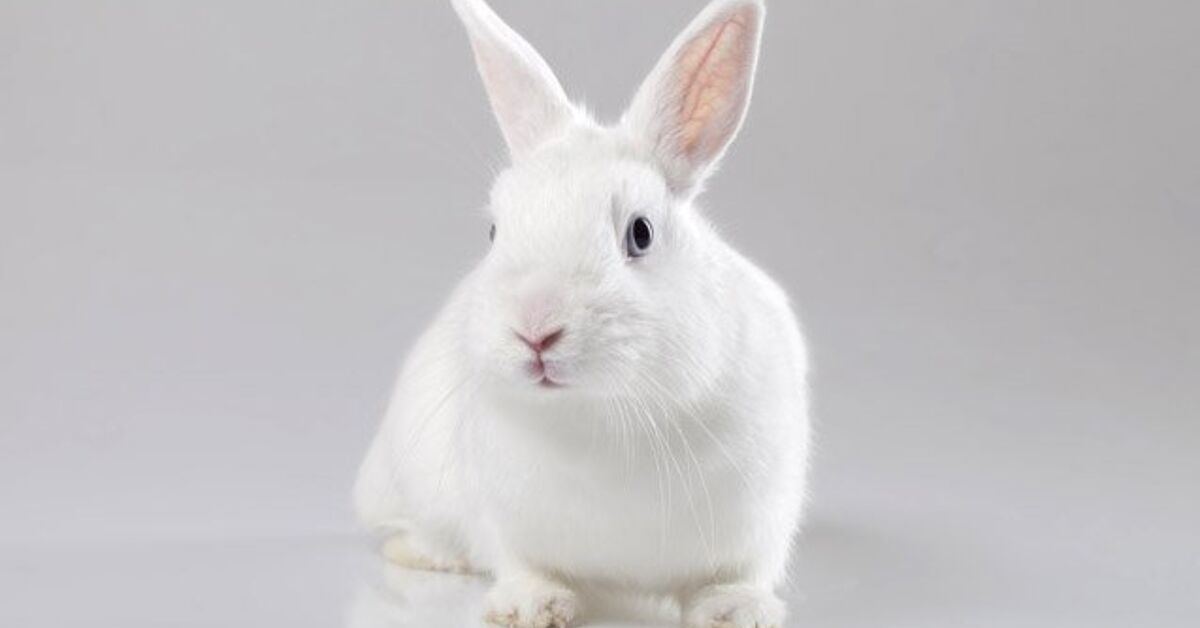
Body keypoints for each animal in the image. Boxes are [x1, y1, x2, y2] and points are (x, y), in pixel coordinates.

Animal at [354, 0, 811, 626]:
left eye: (640, 233)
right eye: (494, 231)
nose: (535, 330)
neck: (603, 416)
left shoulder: (763, 510)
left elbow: (742, 572)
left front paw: (735, 610)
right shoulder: (501, 515)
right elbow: (521, 561)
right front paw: (533, 606)